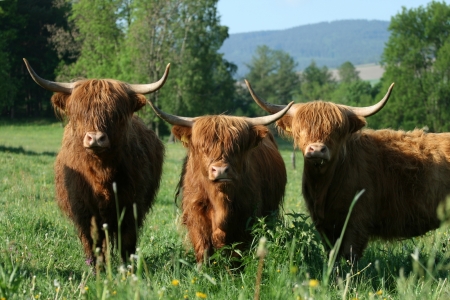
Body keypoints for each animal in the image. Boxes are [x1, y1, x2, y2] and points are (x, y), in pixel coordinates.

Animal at [22, 58, 169, 262]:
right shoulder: (83, 208)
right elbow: (93, 242)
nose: (96, 138)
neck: (101, 172)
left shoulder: (131, 206)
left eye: (116, 115)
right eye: (80, 113)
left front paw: (127, 266)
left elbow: (126, 241)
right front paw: (96, 266)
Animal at [246, 81, 450, 262]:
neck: (324, 186)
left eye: (336, 131)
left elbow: (350, 256)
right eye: (300, 130)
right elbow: (333, 256)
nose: (317, 149)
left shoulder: (357, 221)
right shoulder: (325, 225)